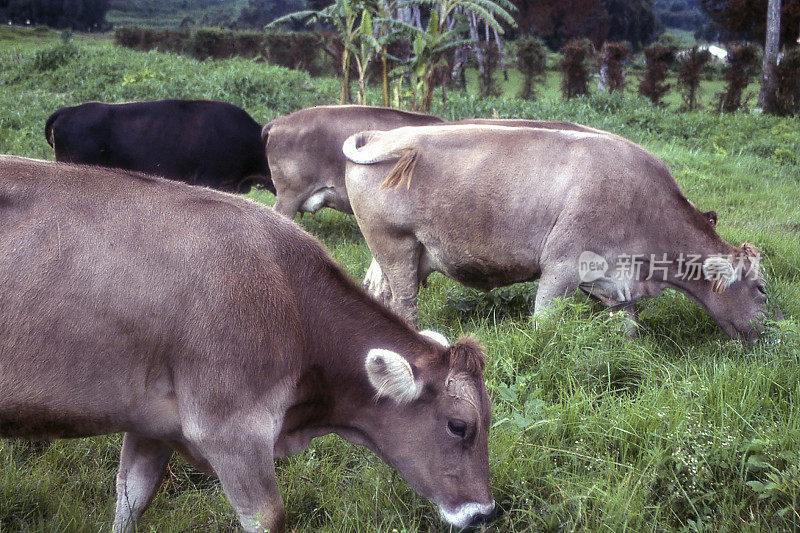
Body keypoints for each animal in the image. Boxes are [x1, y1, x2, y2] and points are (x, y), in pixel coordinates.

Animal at [0, 156, 494, 532]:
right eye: (459, 426)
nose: (483, 513)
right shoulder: (232, 428)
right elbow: (267, 516)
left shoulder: (149, 423)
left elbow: (129, 500)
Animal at [342, 124, 776, 340]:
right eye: (762, 289)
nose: (769, 333)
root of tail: (383, 135)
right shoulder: (562, 267)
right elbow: (543, 324)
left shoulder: (619, 281)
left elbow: (628, 330)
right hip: (396, 247)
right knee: (404, 304)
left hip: (397, 255)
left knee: (377, 292)